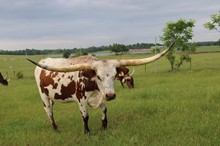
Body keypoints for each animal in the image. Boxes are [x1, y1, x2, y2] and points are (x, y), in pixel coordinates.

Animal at [27, 41, 175, 133]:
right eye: (98, 76)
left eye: (114, 76)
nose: (111, 95)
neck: (93, 87)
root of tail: (43, 61)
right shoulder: (81, 100)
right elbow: (85, 116)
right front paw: (87, 131)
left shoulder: (101, 95)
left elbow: (104, 110)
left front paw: (104, 126)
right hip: (44, 96)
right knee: (49, 112)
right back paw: (55, 129)